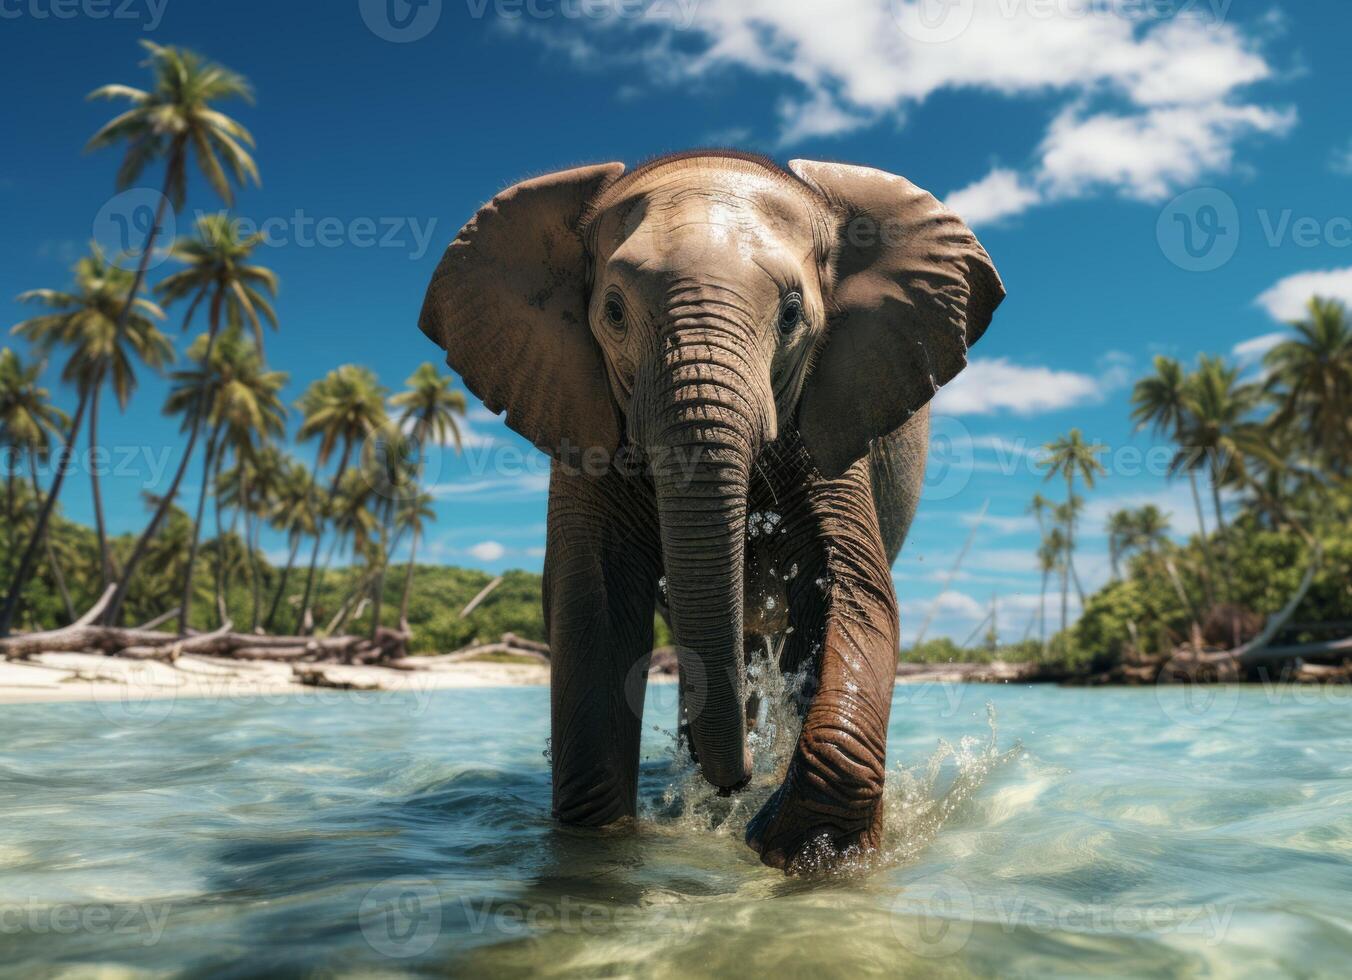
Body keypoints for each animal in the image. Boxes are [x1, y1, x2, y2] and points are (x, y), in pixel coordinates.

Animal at [421, 152, 1005, 870]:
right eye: (612, 311)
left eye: (792, 314)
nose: (740, 779)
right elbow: (593, 604)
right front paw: (598, 855)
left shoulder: (836, 408)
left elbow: (850, 589)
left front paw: (803, 850)